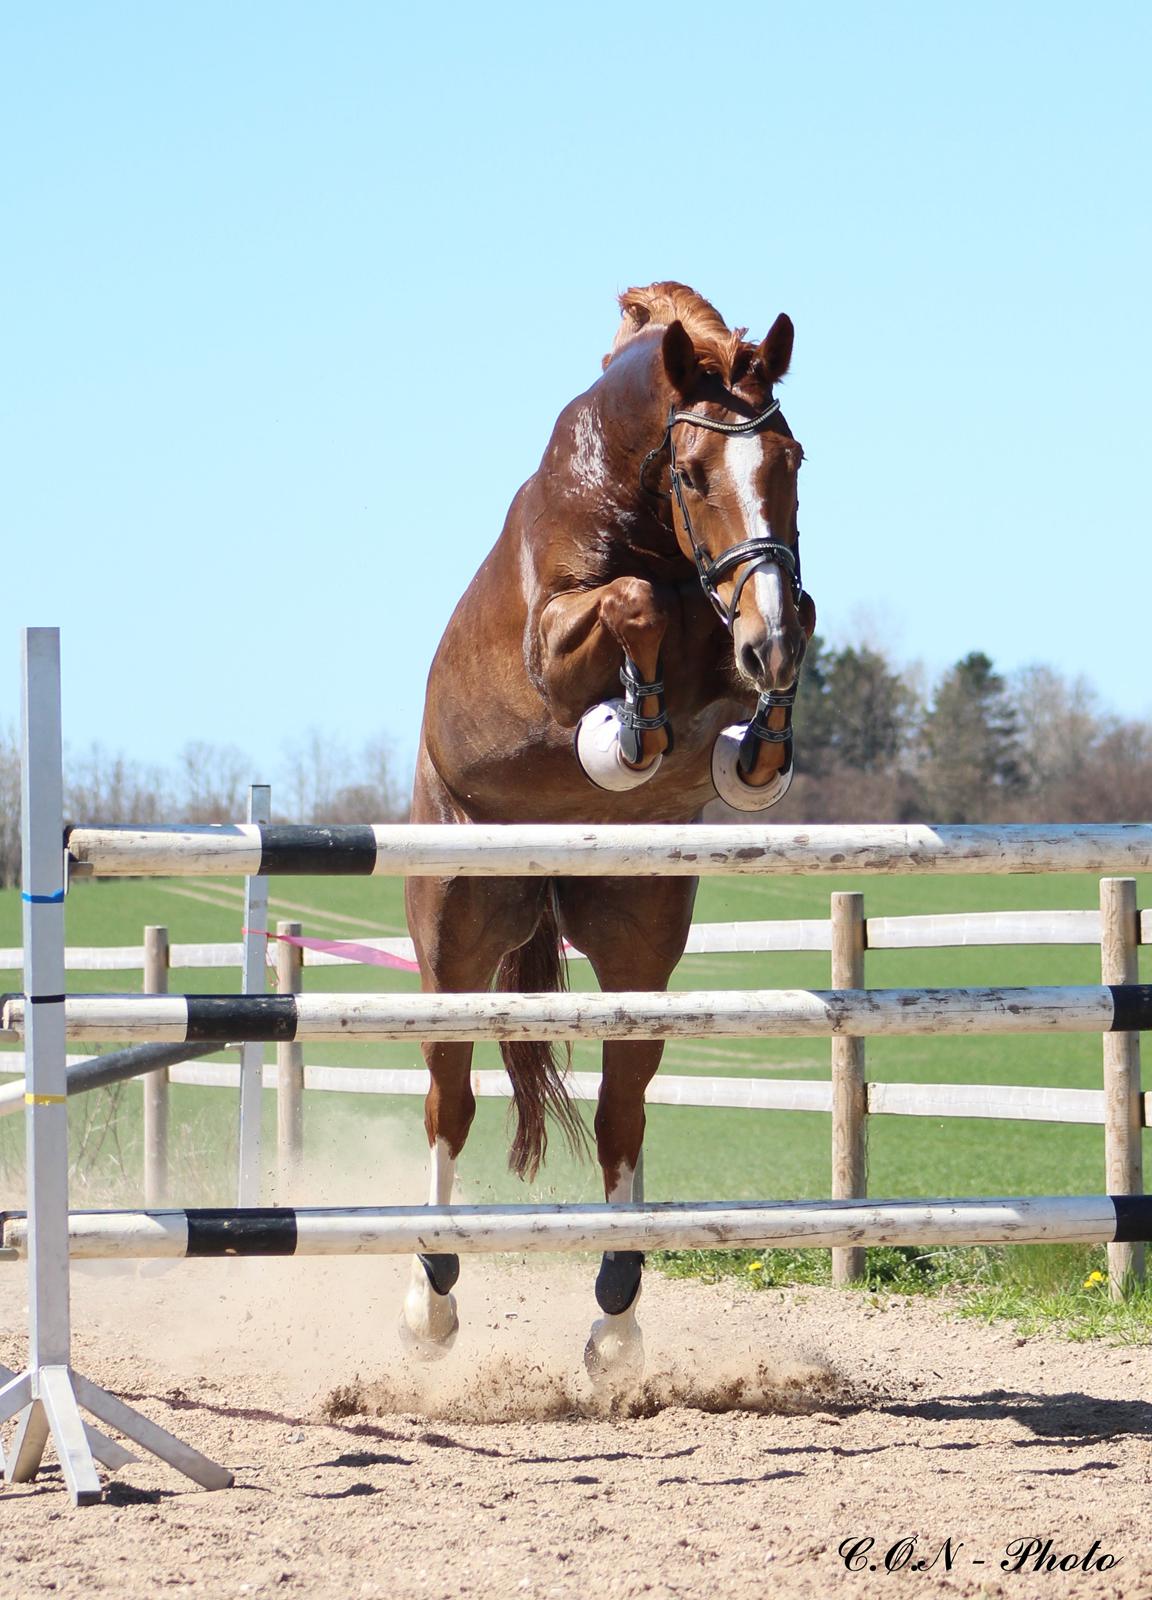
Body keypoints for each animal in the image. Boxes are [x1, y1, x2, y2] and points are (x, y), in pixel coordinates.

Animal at [400, 281, 816, 1382]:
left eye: (793, 460)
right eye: (694, 472)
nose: (765, 648)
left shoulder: (735, 618)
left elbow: (794, 610)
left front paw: (757, 742)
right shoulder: (556, 641)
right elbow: (634, 608)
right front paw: (627, 731)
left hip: (638, 935)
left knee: (622, 1110)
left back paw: (617, 1317)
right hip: (455, 934)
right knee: (450, 1102)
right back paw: (430, 1302)